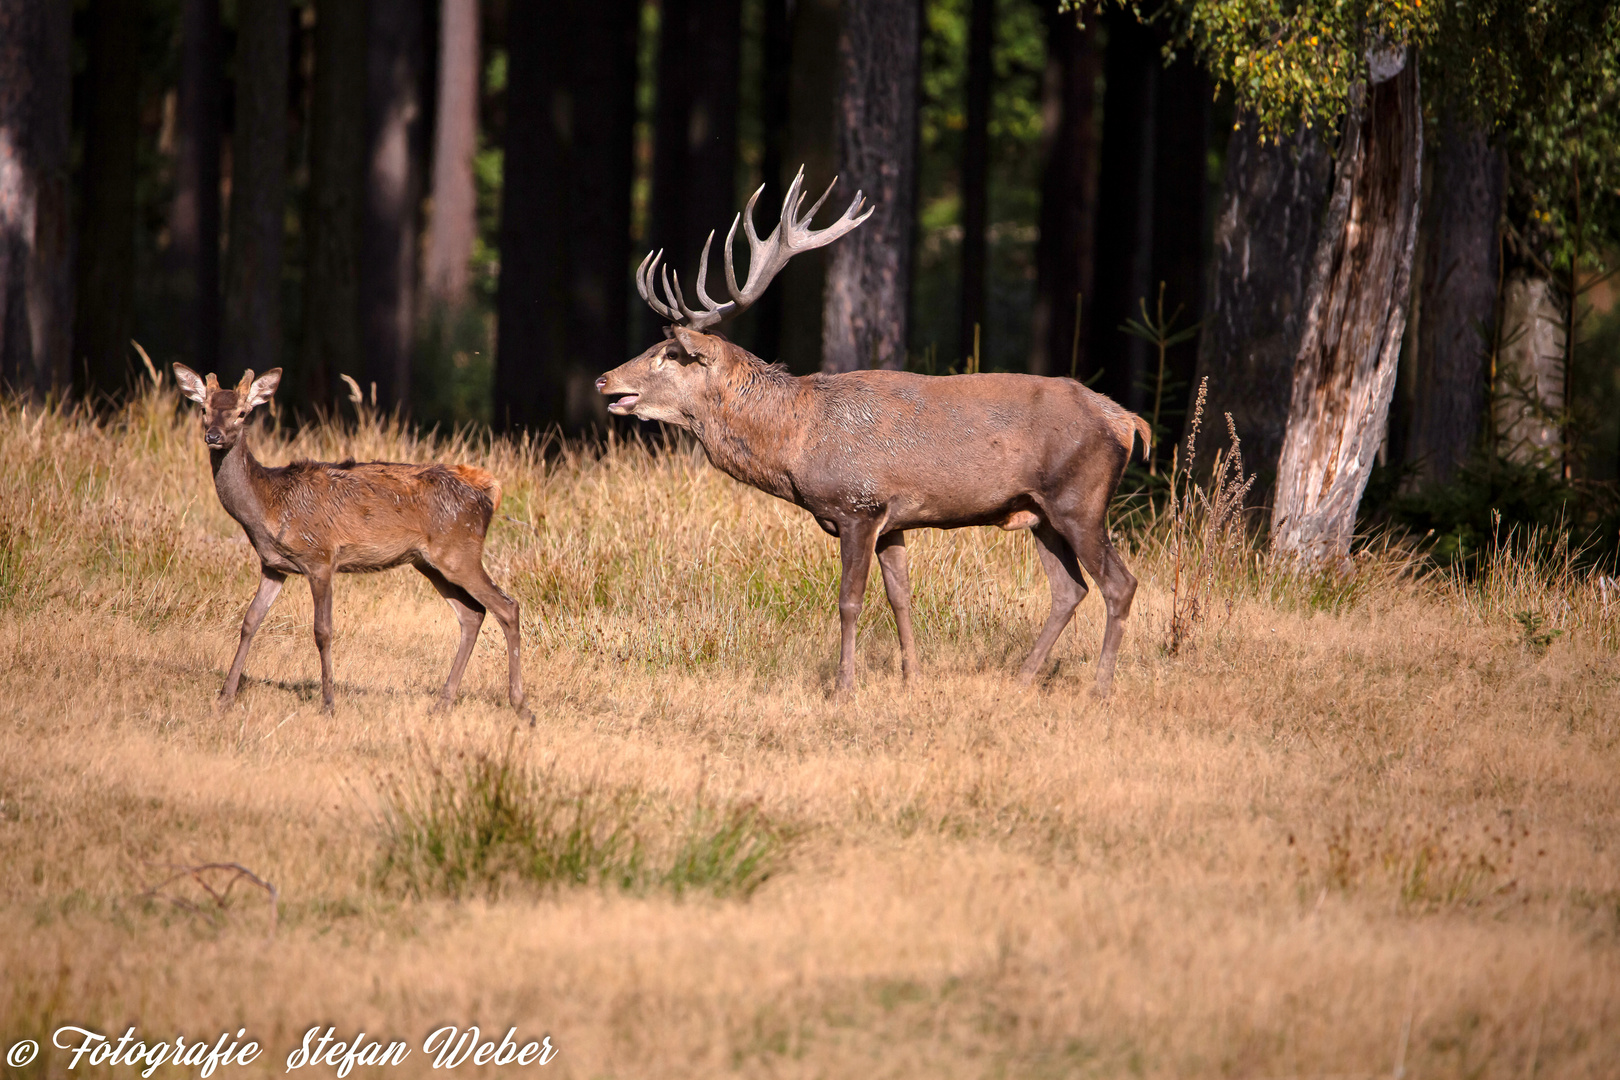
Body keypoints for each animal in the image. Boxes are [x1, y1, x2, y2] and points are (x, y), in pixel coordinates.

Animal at [174, 365, 534, 725]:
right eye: (204, 409)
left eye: (242, 413)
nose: (214, 436)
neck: (268, 509)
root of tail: (488, 492)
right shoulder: (273, 566)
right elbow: (250, 622)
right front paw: (224, 697)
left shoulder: (320, 557)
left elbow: (322, 631)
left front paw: (329, 704)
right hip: (429, 562)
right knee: (472, 614)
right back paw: (443, 703)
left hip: (460, 551)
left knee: (507, 606)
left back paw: (521, 706)